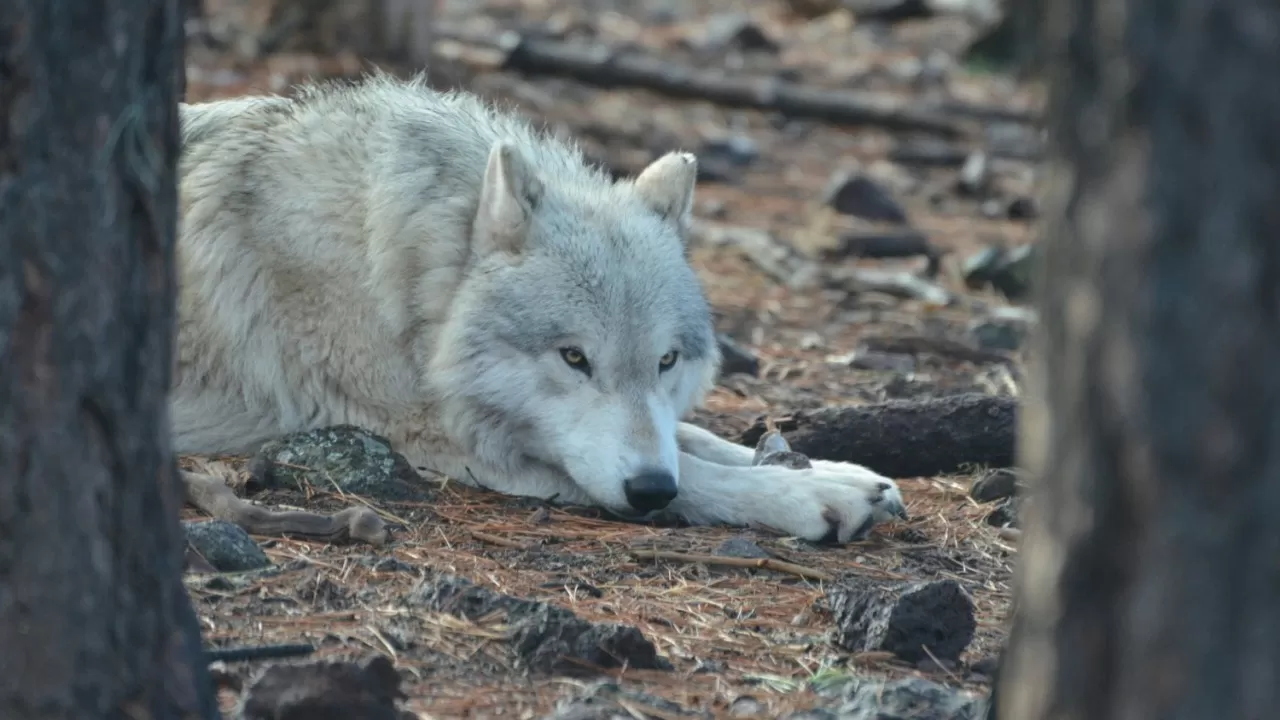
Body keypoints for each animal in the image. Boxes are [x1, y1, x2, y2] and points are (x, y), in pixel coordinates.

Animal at [172, 74, 911, 543]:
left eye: (667, 360)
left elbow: (694, 438)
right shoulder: (446, 444)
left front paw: (840, 472)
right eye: (574, 358)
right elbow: (697, 474)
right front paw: (811, 497)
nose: (650, 491)